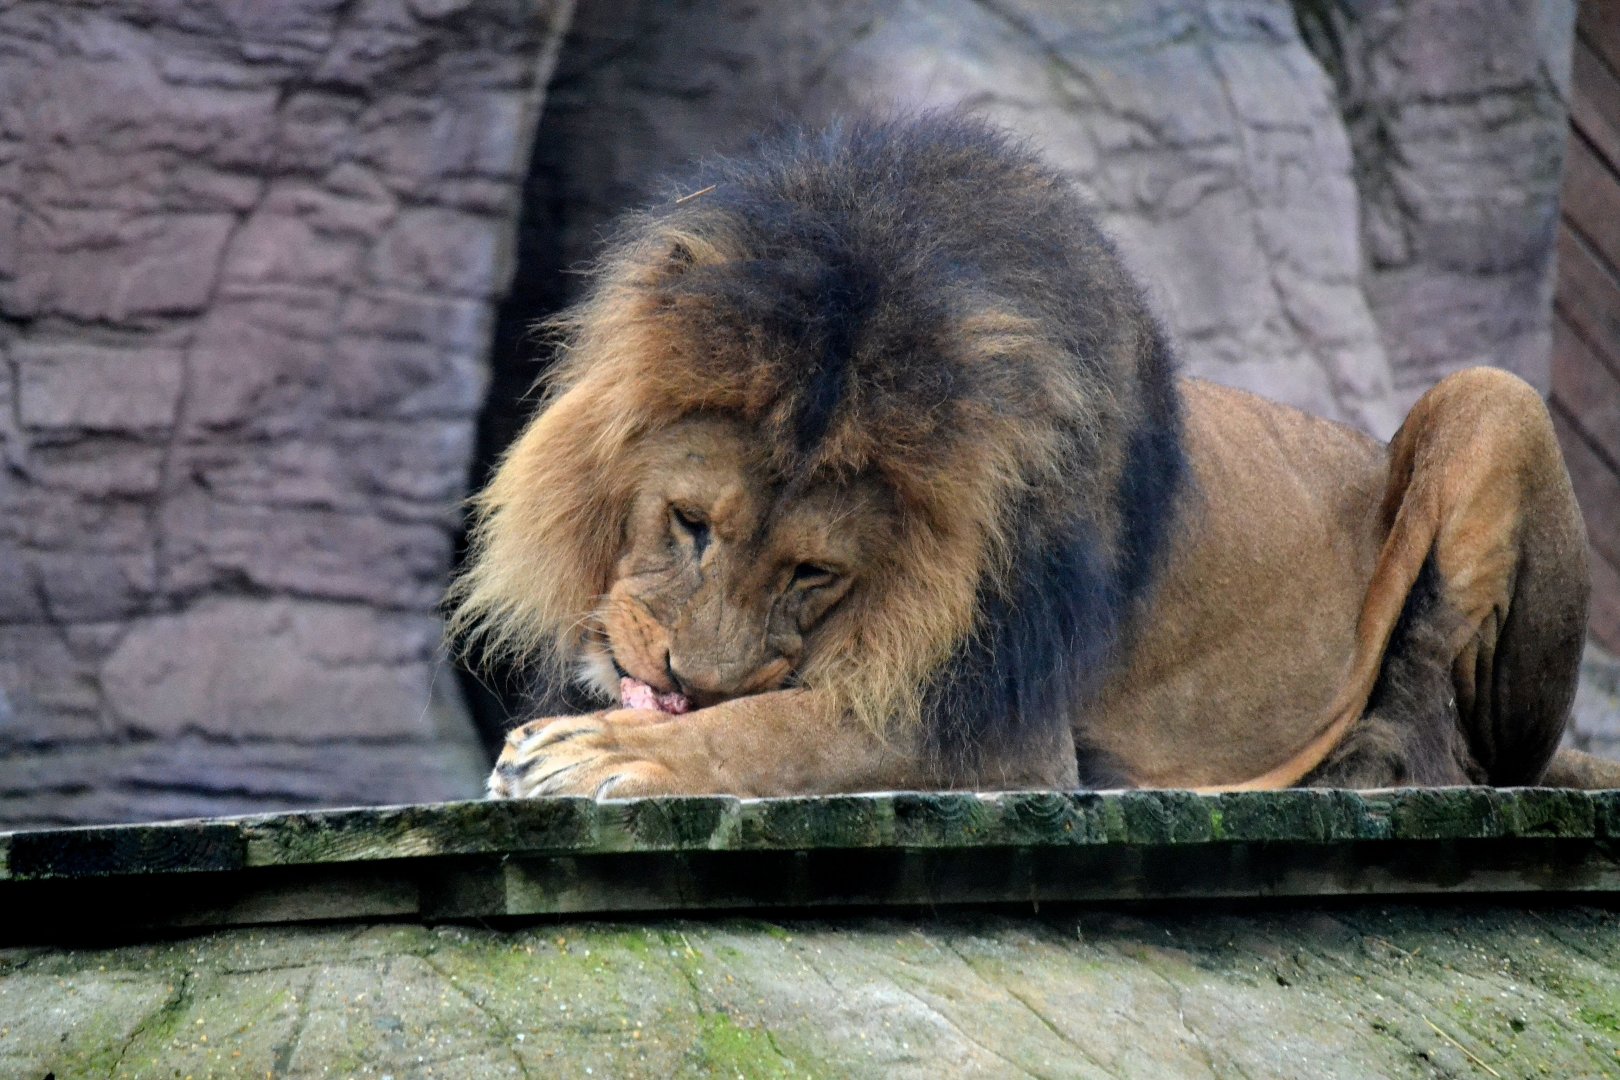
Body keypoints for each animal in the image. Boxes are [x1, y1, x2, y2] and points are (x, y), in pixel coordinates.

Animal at [452, 114, 1620, 799]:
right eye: (691, 523)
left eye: (816, 572)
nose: (681, 684)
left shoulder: (1005, 730)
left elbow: (781, 729)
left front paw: (613, 752)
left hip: (1493, 397)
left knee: (1458, 739)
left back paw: (1368, 764)